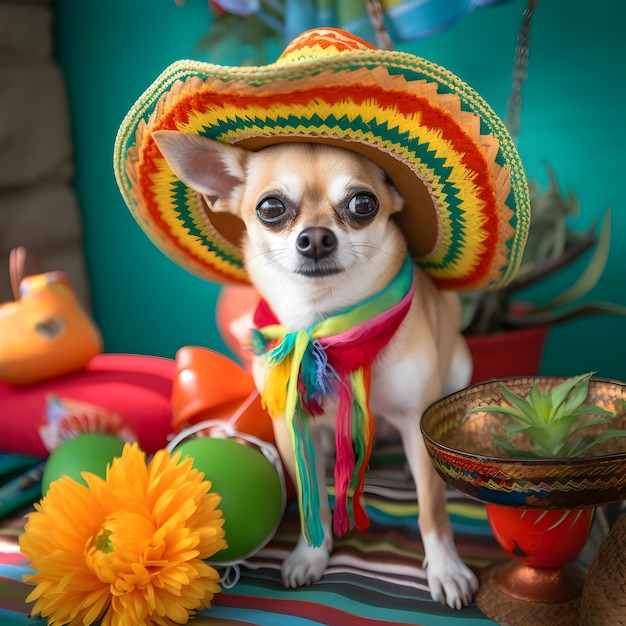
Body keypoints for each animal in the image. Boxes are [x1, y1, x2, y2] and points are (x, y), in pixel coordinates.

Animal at [151, 130, 478, 604]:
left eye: (363, 203)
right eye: (270, 208)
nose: (317, 238)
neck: (326, 327)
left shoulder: (415, 416)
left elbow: (431, 508)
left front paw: (446, 568)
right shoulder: (293, 428)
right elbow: (313, 502)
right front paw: (310, 555)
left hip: (457, 369)